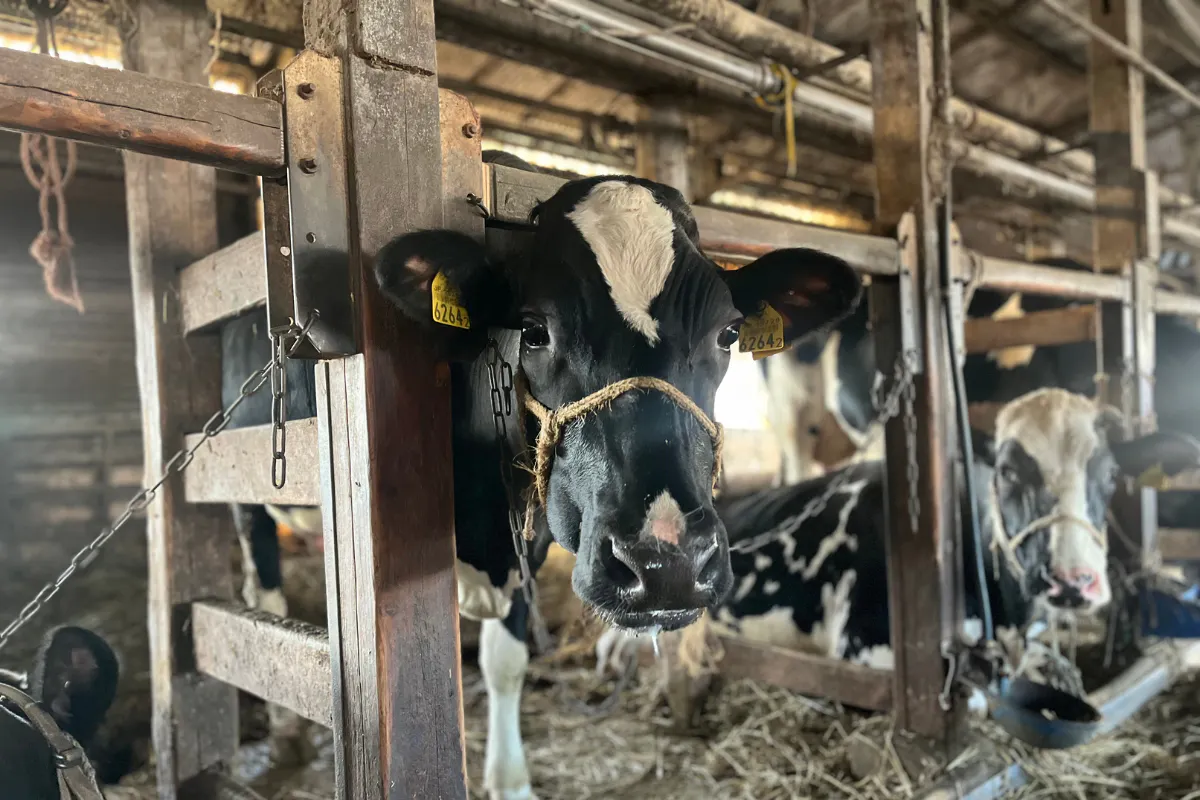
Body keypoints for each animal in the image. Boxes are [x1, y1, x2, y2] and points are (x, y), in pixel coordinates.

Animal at [220, 151, 863, 798]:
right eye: (533, 329)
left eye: (728, 333)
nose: (668, 562)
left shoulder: (524, 537)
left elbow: (506, 661)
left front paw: (510, 781)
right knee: (261, 586)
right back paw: (285, 731)